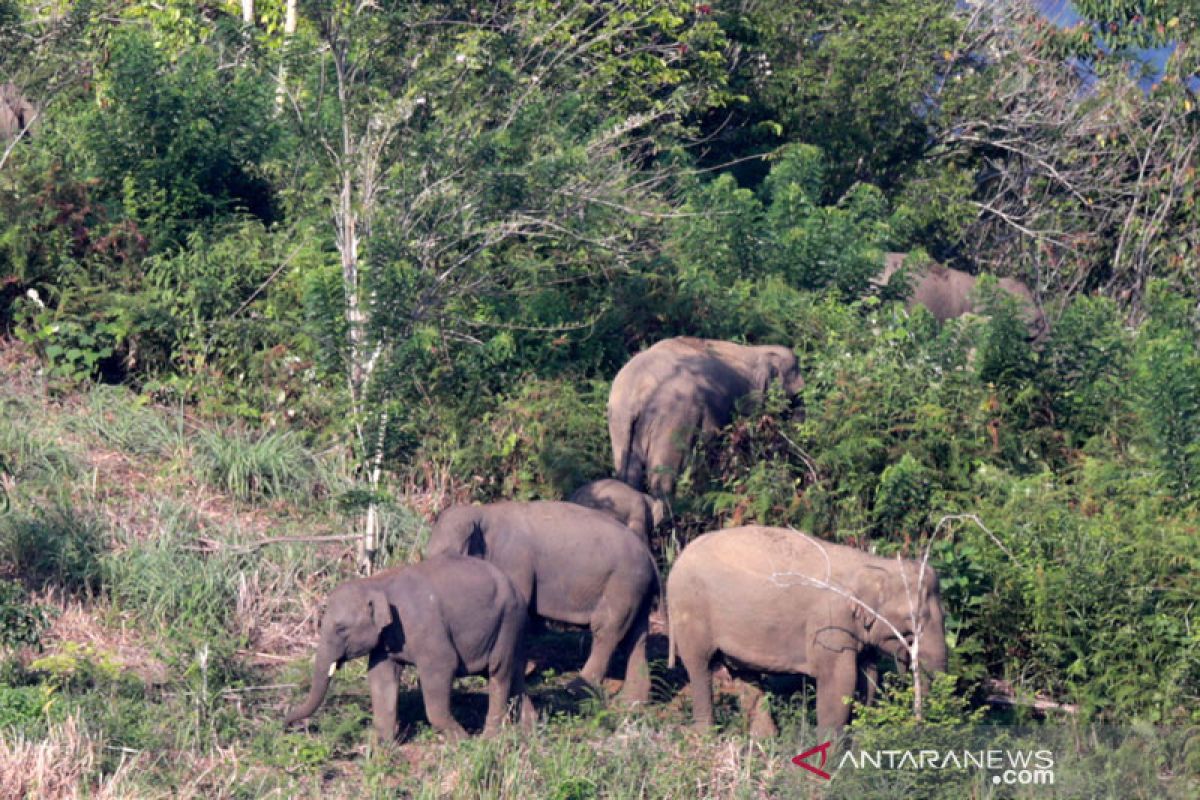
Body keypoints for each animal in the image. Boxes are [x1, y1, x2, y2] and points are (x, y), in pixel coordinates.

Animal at [283, 554, 532, 743]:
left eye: (341, 628)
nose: (286, 724)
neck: (376, 583)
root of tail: (515, 588)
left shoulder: (426, 628)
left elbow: (441, 668)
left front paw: (462, 741)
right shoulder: (386, 640)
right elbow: (381, 677)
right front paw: (382, 747)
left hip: (508, 621)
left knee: (498, 673)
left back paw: (489, 739)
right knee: (513, 674)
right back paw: (530, 729)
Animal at [427, 503, 662, 705]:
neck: (482, 513)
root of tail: (650, 556)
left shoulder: (514, 560)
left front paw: (526, 669)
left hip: (623, 584)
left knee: (606, 629)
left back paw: (575, 689)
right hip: (637, 590)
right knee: (635, 637)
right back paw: (633, 701)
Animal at [609, 335, 806, 496]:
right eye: (795, 396)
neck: (757, 350)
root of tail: (636, 393)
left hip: (619, 426)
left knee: (630, 474)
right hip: (674, 418)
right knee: (664, 478)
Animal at [667, 522, 945, 734]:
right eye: (912, 619)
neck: (874, 565)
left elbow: (868, 678)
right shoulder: (828, 624)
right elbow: (839, 683)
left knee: (745, 674)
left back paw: (765, 741)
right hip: (690, 613)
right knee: (700, 668)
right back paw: (706, 739)